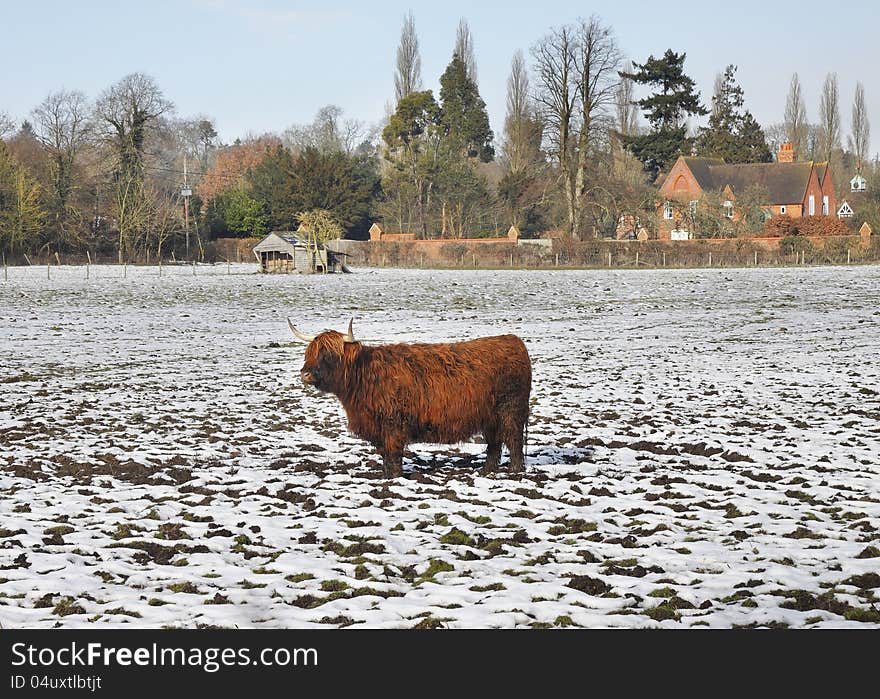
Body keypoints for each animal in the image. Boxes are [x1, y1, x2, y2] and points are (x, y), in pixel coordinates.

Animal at [292, 320, 532, 478]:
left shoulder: (393, 425)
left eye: (329, 355)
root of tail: (513, 340)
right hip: (490, 416)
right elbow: (385, 454)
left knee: (513, 440)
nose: (305, 374)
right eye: (309, 353)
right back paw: (486, 471)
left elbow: (393, 453)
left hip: (511, 411)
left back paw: (514, 472)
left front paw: (394, 477)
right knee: (495, 443)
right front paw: (386, 474)